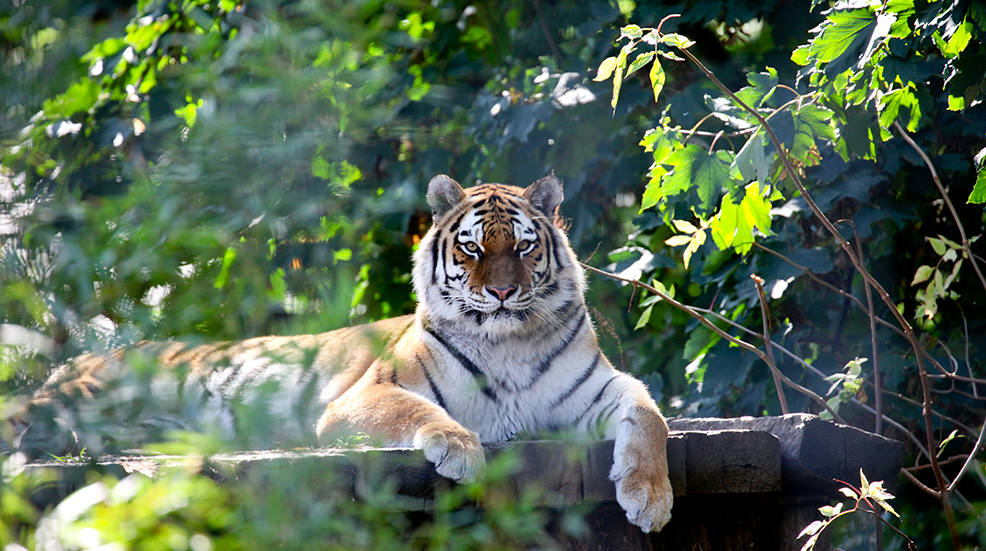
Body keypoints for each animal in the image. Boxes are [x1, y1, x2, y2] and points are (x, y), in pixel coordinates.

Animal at [18, 174, 673, 533]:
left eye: (522, 246)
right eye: (471, 250)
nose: (503, 293)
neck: (507, 341)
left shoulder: (595, 388)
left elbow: (651, 416)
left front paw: (650, 497)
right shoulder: (364, 396)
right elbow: (425, 413)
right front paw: (462, 450)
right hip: (91, 390)